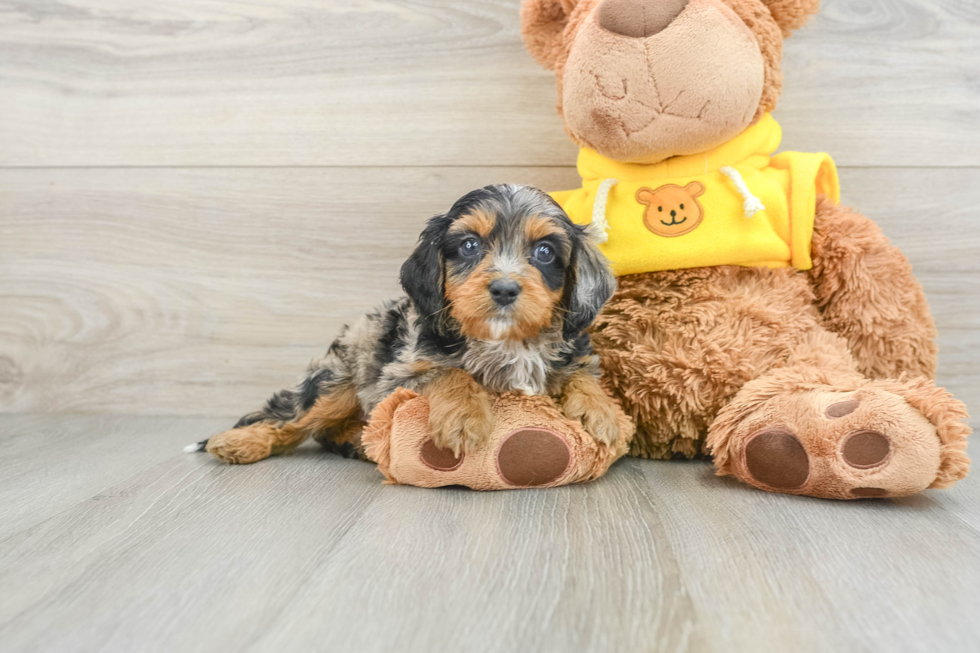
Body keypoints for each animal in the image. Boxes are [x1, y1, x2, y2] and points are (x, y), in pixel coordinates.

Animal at [191, 183, 616, 464]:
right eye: (469, 246)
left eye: (544, 252)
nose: (505, 289)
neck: (504, 339)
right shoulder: (398, 374)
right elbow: (449, 372)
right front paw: (465, 417)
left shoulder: (570, 353)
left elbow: (581, 375)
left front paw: (603, 412)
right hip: (337, 382)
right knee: (294, 421)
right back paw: (239, 443)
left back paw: (358, 441)